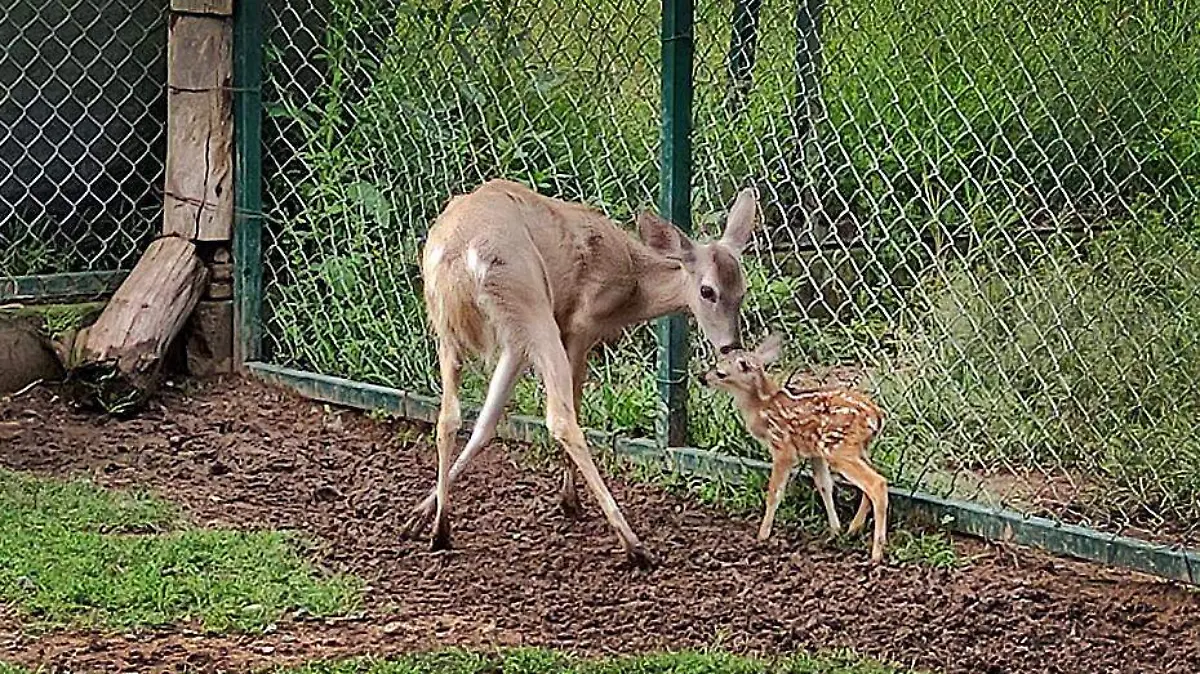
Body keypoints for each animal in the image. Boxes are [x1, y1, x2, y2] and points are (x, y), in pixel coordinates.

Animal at [403, 178, 758, 566]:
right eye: (707, 291)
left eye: (743, 289)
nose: (731, 346)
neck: (631, 283)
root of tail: (463, 254)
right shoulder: (579, 325)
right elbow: (571, 402)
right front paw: (568, 500)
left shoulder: (515, 342)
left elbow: (486, 423)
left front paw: (419, 514)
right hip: (531, 306)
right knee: (561, 419)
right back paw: (633, 544)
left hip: (446, 326)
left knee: (448, 415)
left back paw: (440, 530)